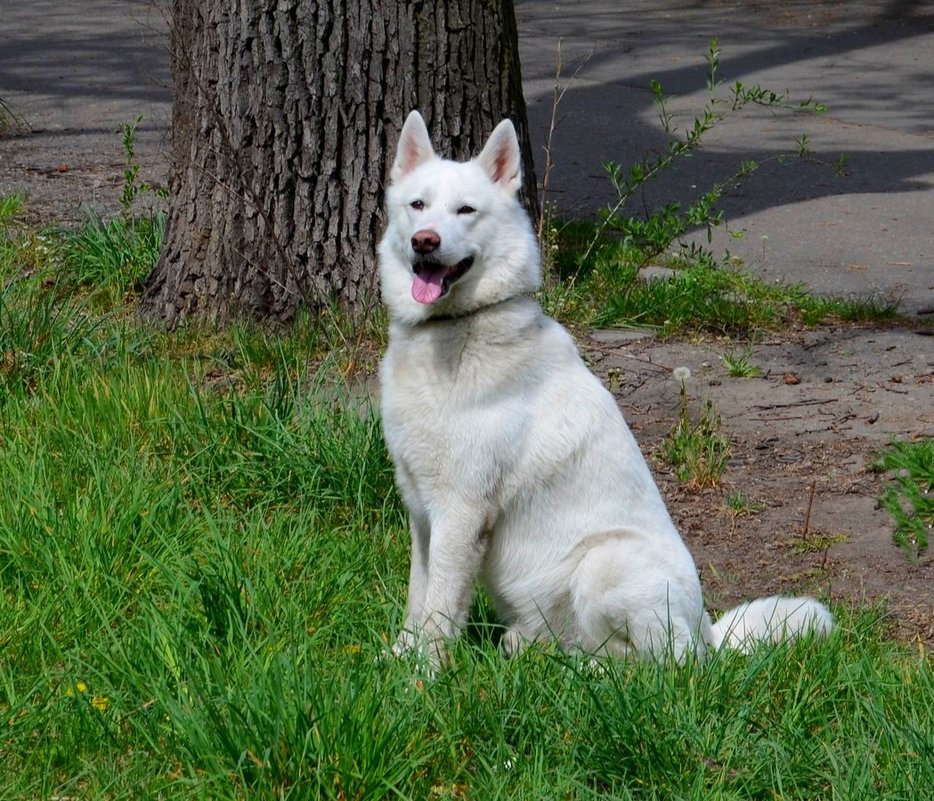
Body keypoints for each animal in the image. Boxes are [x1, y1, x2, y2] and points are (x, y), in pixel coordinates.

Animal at [376, 109, 828, 664]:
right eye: (418, 206)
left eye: (465, 211)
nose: (425, 241)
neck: (453, 330)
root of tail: (711, 635)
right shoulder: (422, 512)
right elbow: (418, 598)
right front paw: (397, 658)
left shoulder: (461, 512)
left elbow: (440, 608)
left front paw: (425, 672)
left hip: (607, 563)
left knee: (667, 664)